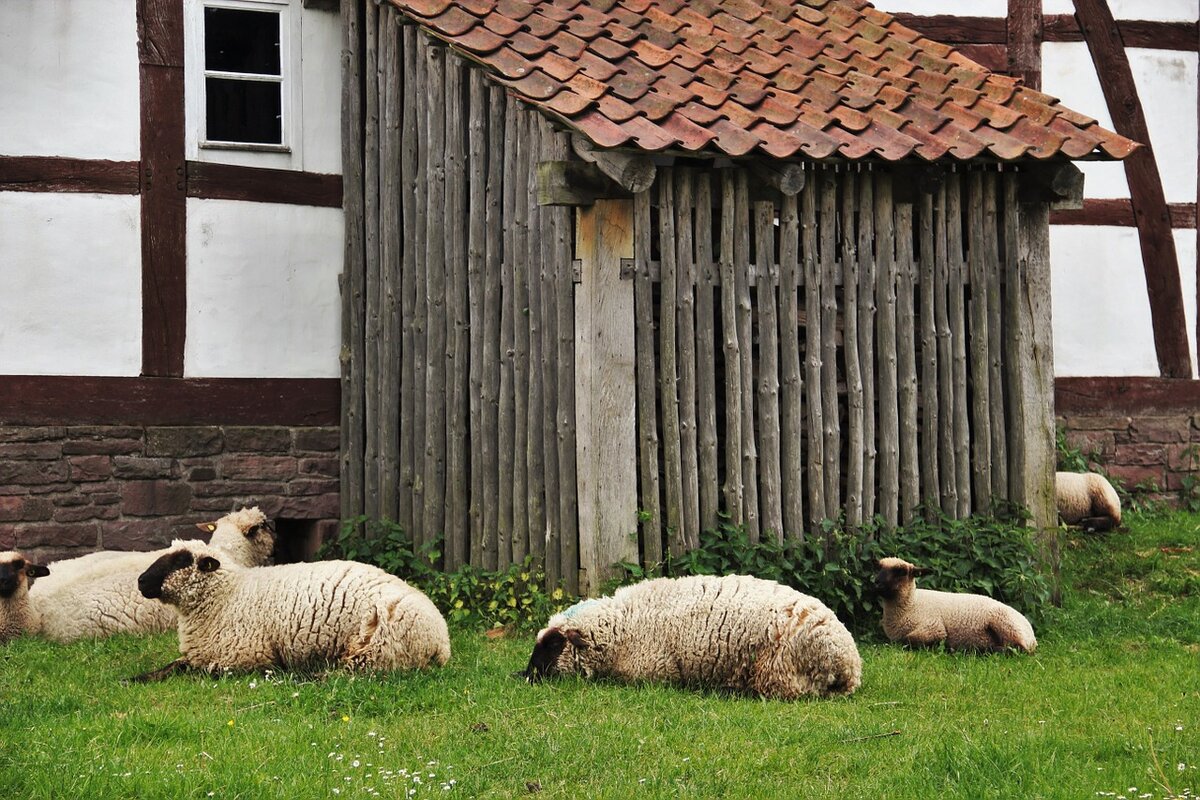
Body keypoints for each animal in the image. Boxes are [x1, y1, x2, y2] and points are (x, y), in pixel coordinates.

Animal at [130, 537, 451, 681]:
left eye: (181, 560)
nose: (141, 581)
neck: (227, 596)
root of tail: (442, 641)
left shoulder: (246, 657)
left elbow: (203, 670)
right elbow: (174, 665)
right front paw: (135, 679)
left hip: (373, 649)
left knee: (345, 674)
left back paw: (302, 676)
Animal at [525, 575, 864, 700]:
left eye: (553, 644)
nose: (525, 676)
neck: (619, 624)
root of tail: (850, 665)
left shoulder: (653, 671)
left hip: (779, 672)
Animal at [873, 561, 1041, 652]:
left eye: (900, 572)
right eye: (879, 567)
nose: (876, 583)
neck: (912, 604)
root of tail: (1032, 634)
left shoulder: (934, 628)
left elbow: (908, 640)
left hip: (1005, 623)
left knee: (1017, 649)